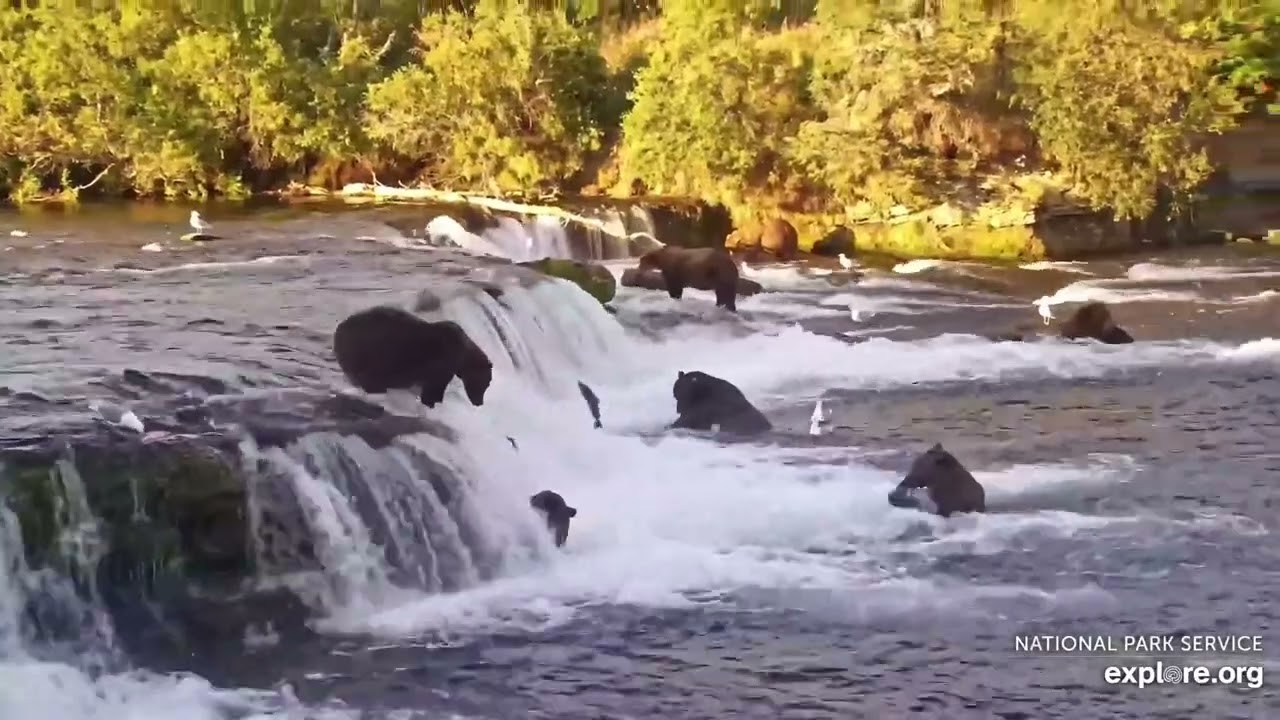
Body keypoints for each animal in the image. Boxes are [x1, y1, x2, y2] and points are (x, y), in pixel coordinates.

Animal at [332, 305, 493, 409]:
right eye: (486, 382)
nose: (480, 403)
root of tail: (339, 327)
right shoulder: (441, 361)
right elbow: (434, 386)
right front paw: (431, 402)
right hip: (369, 348)